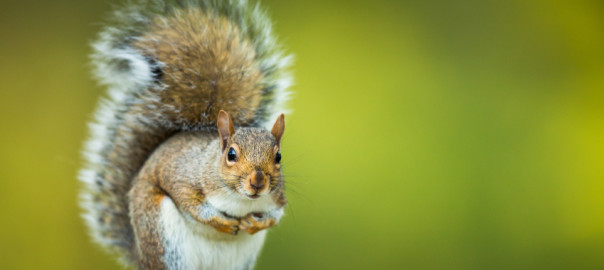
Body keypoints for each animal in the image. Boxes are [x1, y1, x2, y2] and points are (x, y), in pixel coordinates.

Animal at [78, 1, 292, 268]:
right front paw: (221, 221)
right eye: (231, 155)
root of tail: (140, 257)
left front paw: (256, 223)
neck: (241, 200)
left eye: (278, 157)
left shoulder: (278, 197)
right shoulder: (182, 176)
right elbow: (191, 204)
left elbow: (276, 214)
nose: (258, 182)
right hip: (164, 240)